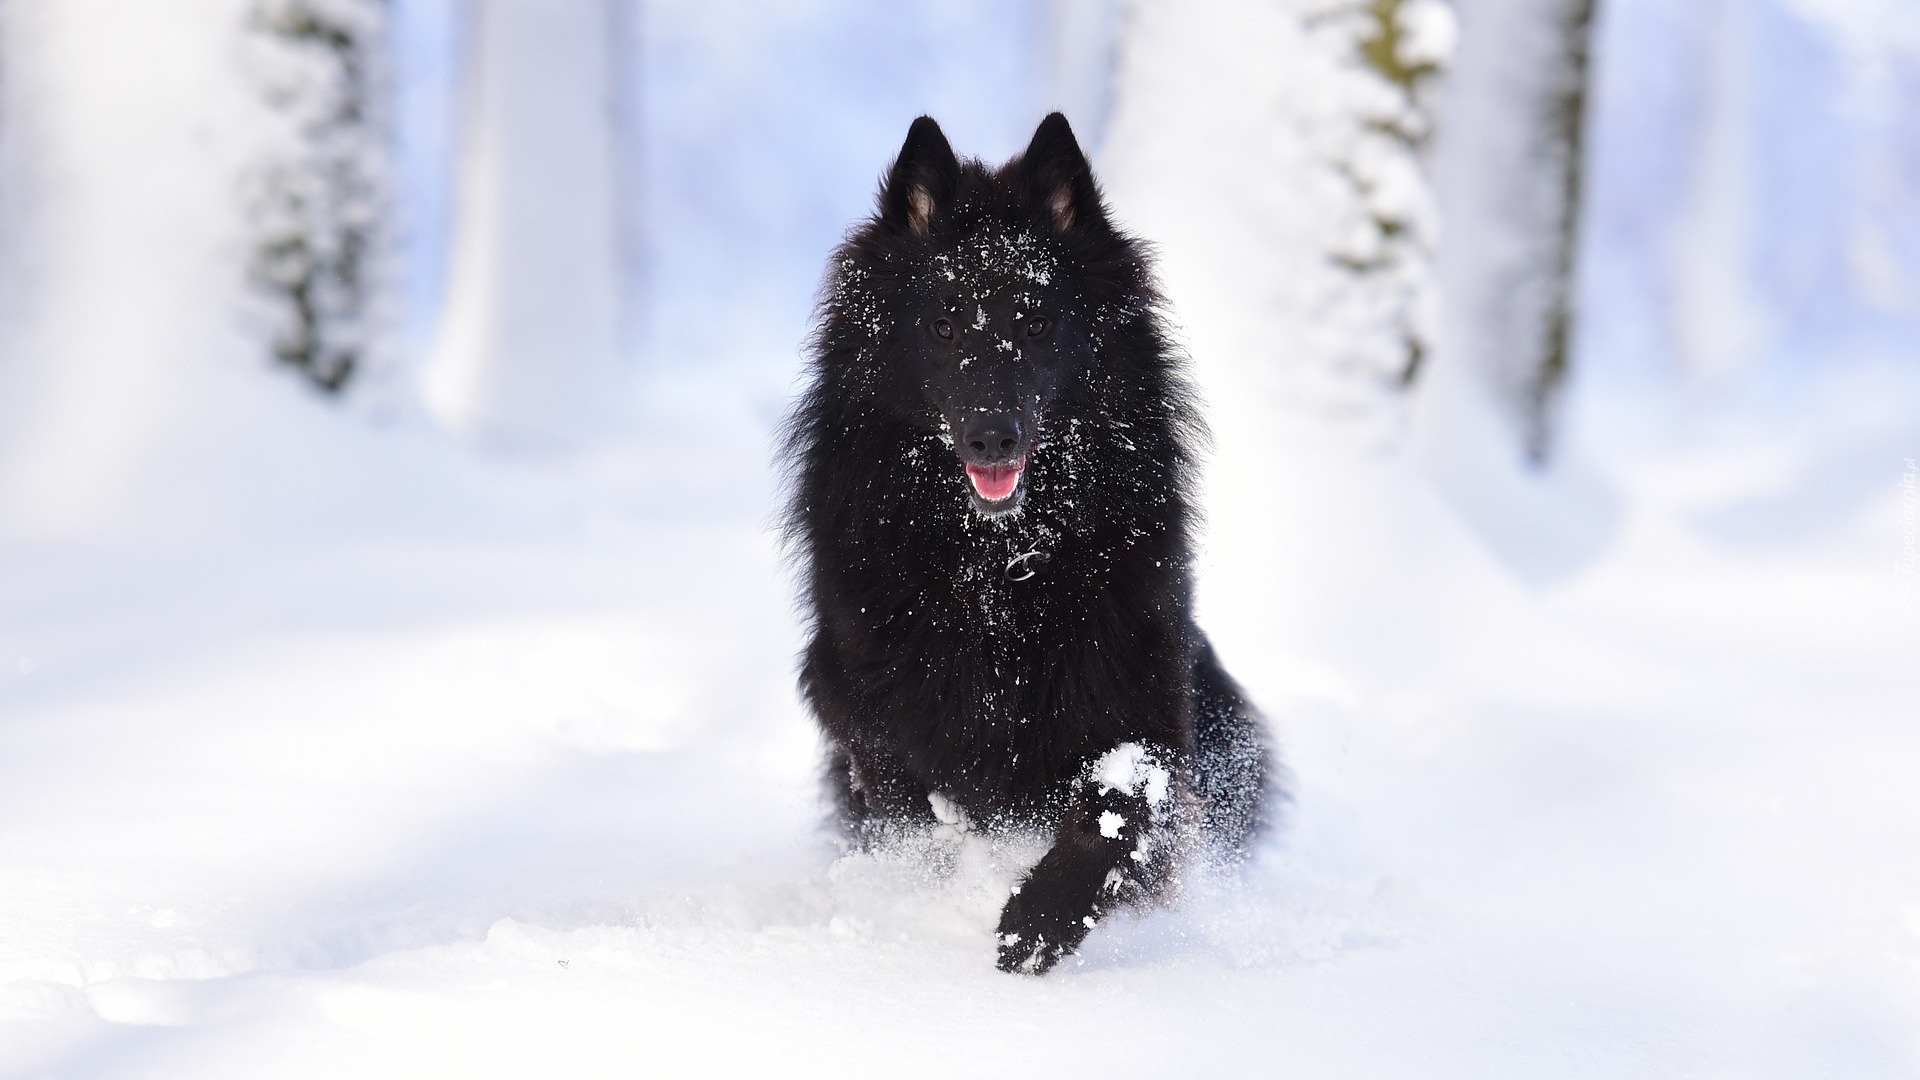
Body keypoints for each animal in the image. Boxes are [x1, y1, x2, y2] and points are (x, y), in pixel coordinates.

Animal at [779, 113, 1274, 972]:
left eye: (1037, 322)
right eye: (944, 323)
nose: (992, 436)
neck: (996, 565)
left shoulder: (1141, 693)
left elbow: (1116, 808)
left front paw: (1040, 919)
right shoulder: (848, 681)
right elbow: (901, 789)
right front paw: (944, 872)